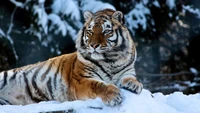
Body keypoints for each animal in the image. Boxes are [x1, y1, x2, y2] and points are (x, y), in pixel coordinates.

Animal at [0, 8, 142, 106]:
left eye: (106, 31)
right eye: (90, 31)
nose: (93, 45)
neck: (111, 60)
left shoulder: (128, 70)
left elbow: (130, 77)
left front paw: (134, 85)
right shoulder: (81, 79)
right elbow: (97, 85)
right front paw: (113, 95)